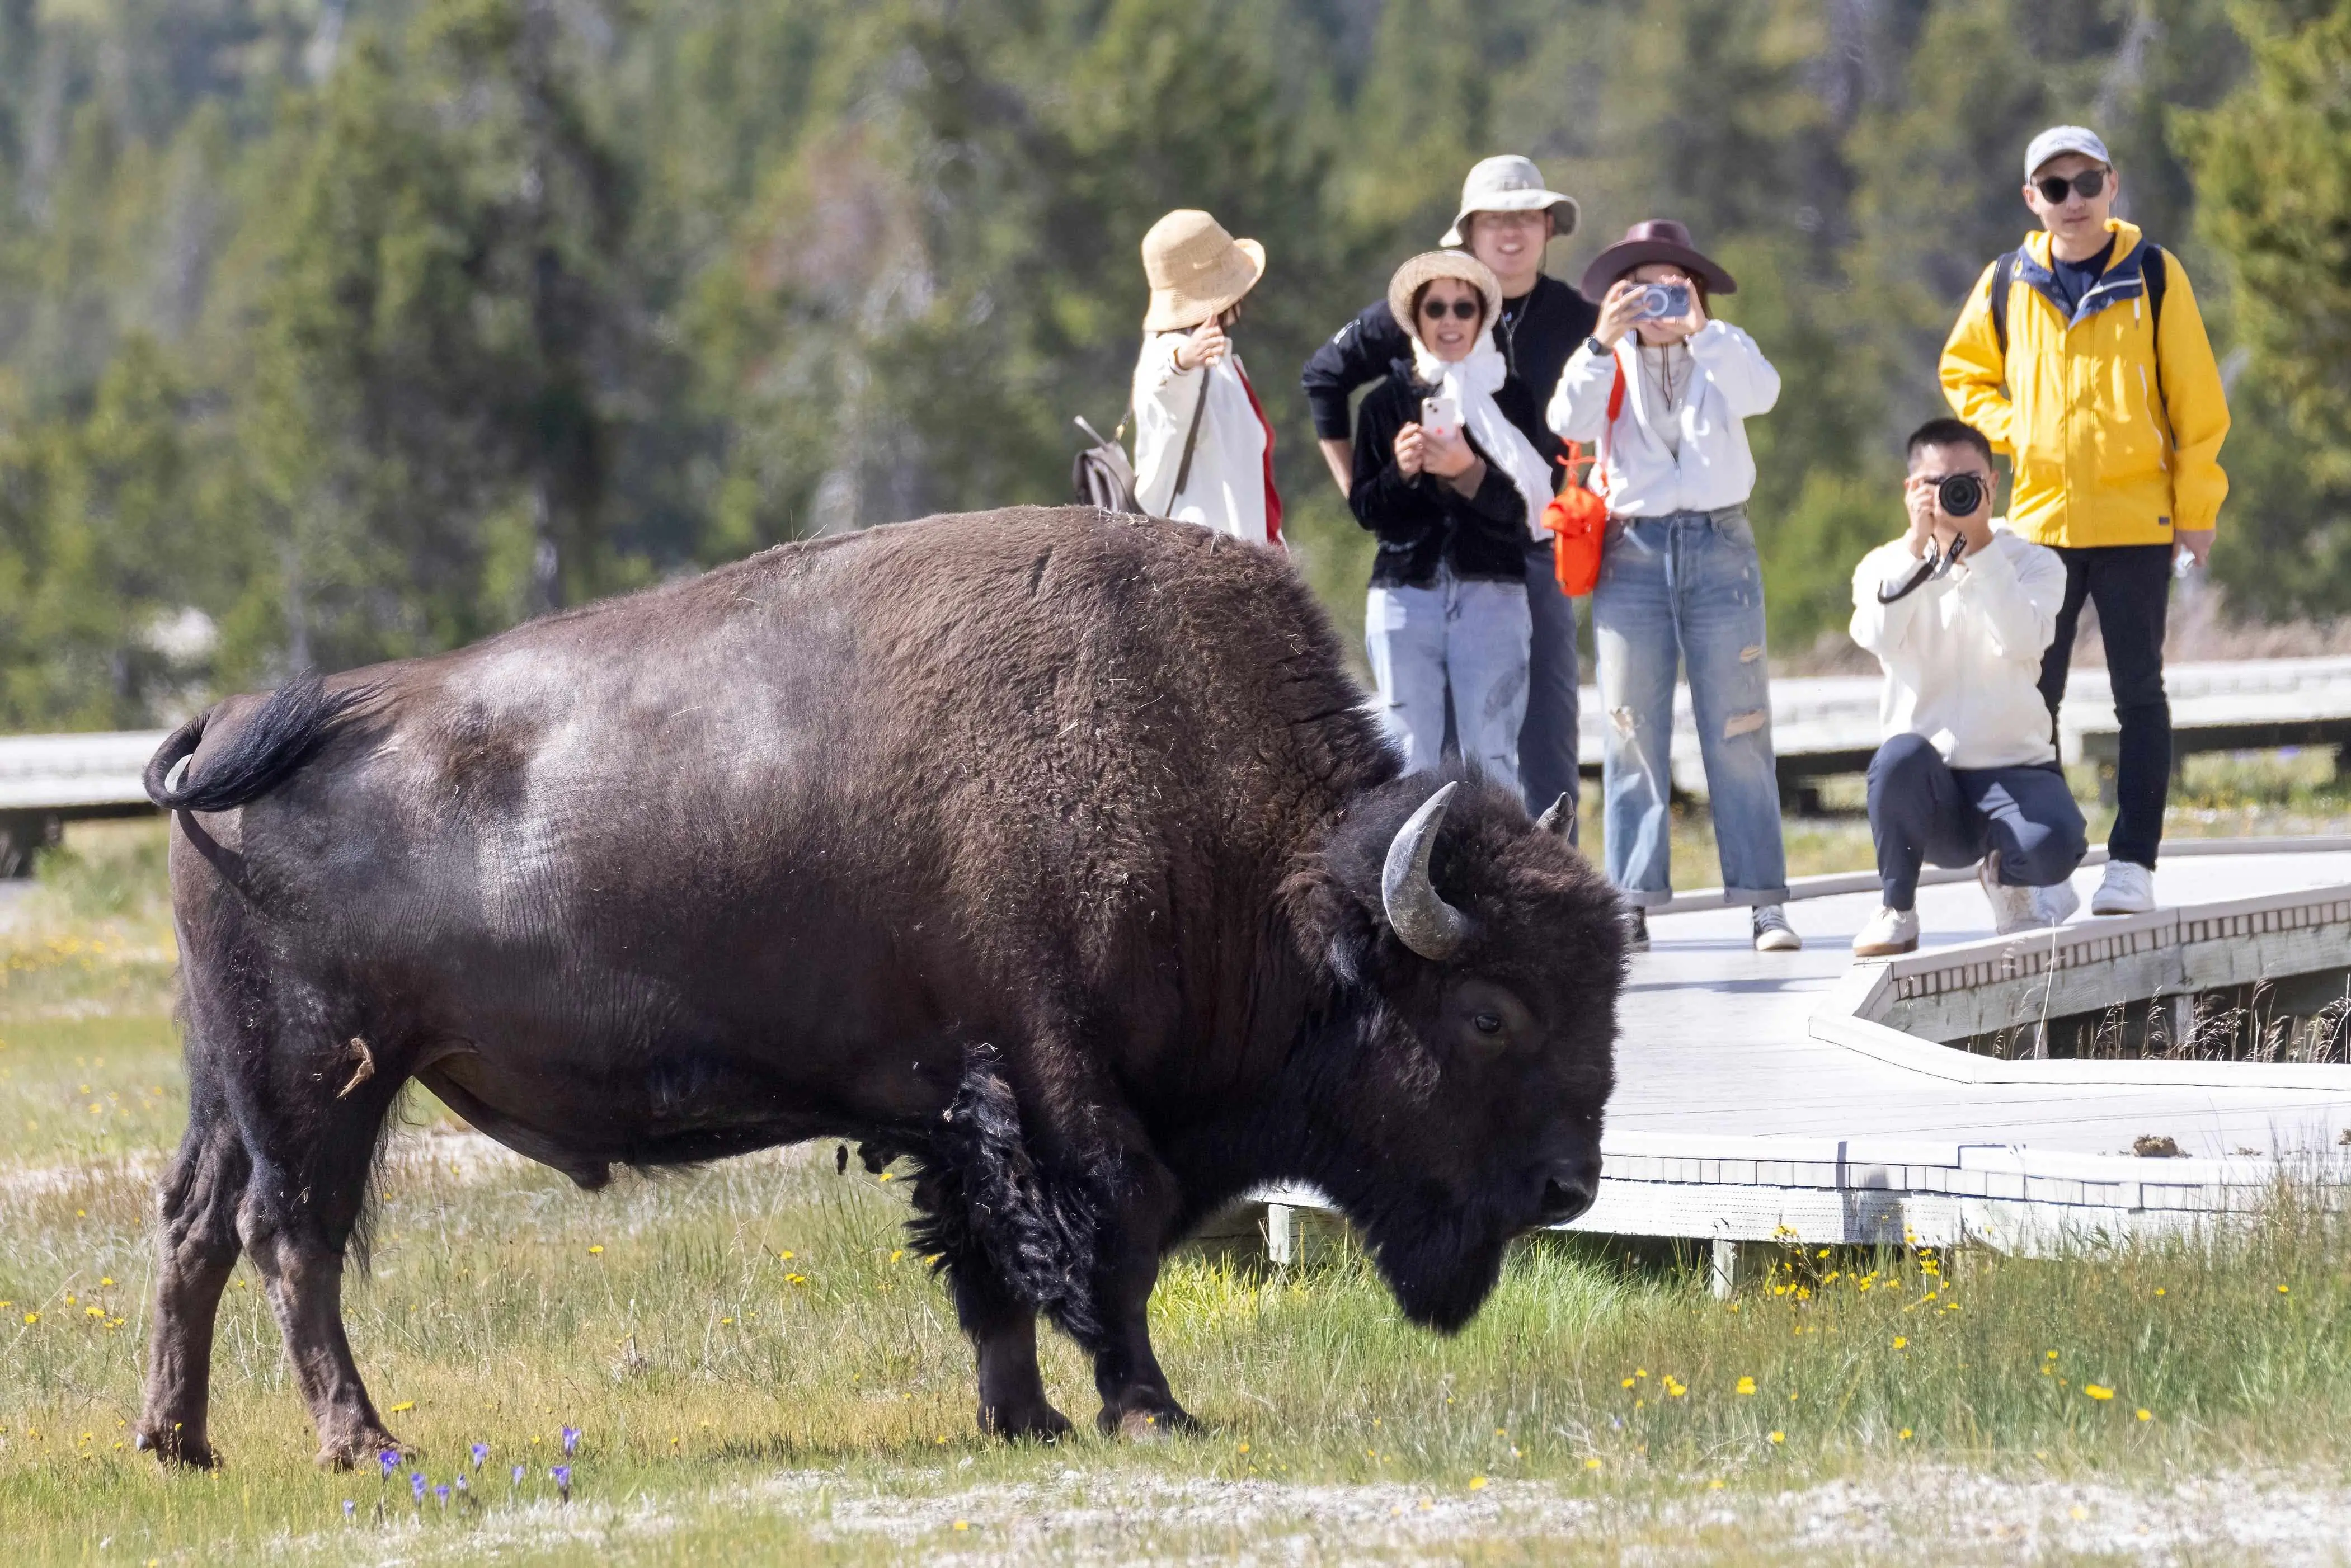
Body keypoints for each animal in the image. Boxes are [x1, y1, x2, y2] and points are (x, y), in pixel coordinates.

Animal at [133, 505, 1623, 1467]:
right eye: (1488, 1012)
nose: (1569, 1183)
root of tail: (236, 725)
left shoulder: (955, 1105)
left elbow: (988, 1266)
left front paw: (1022, 1419)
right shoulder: (1060, 1085)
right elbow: (1112, 1235)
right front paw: (1148, 1409)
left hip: (232, 1080)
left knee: (197, 1227)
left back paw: (180, 1444)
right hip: (326, 1076)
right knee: (292, 1237)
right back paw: (360, 1444)